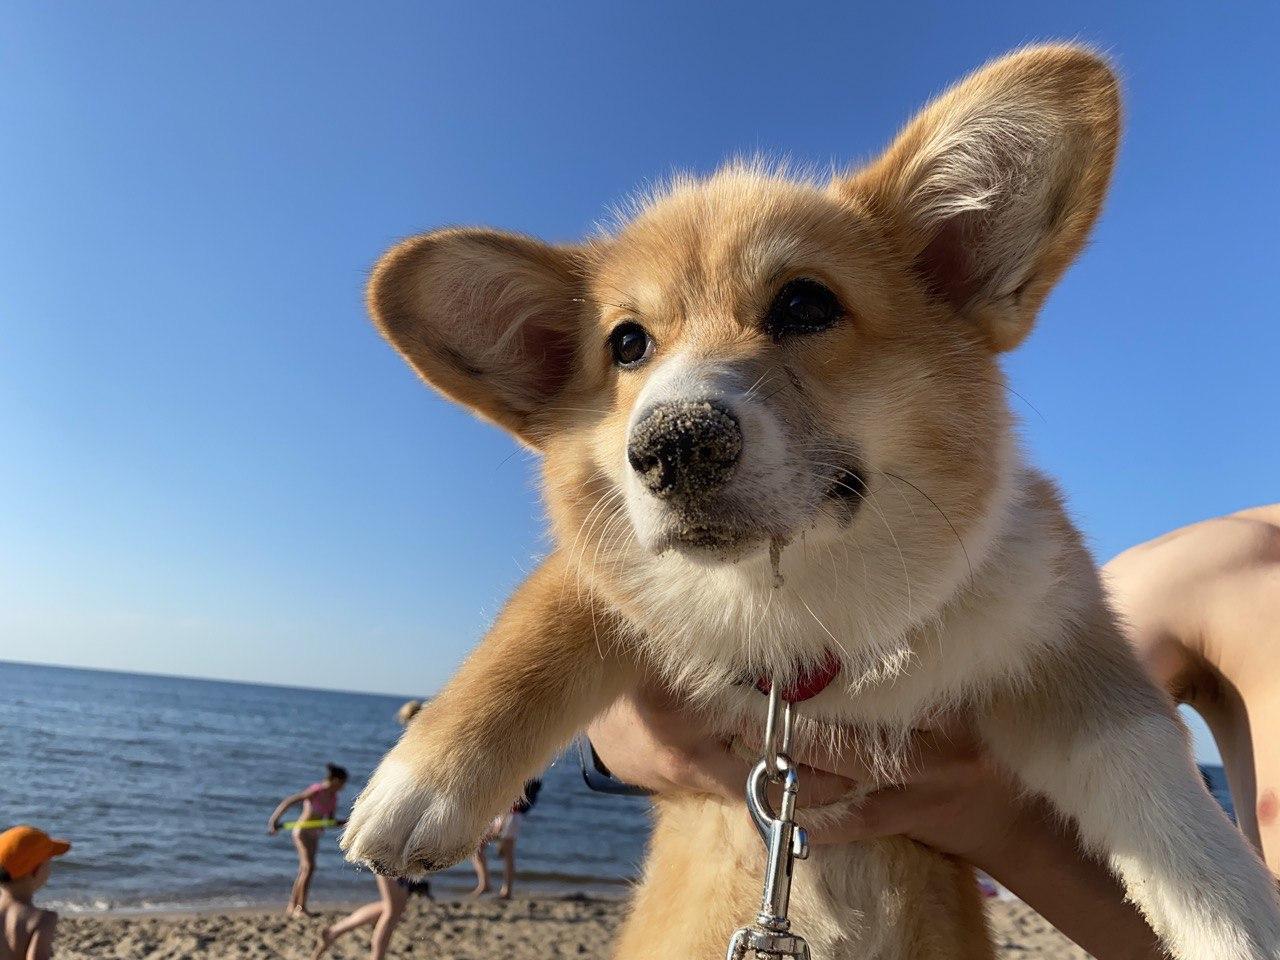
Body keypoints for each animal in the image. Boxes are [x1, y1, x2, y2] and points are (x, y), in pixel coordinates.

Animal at [340, 45, 1280, 960]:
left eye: (804, 302)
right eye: (628, 344)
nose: (673, 444)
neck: (800, 606)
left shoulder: (1055, 624)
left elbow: (1151, 773)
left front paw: (1238, 916)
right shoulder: (606, 572)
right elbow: (533, 633)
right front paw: (415, 789)